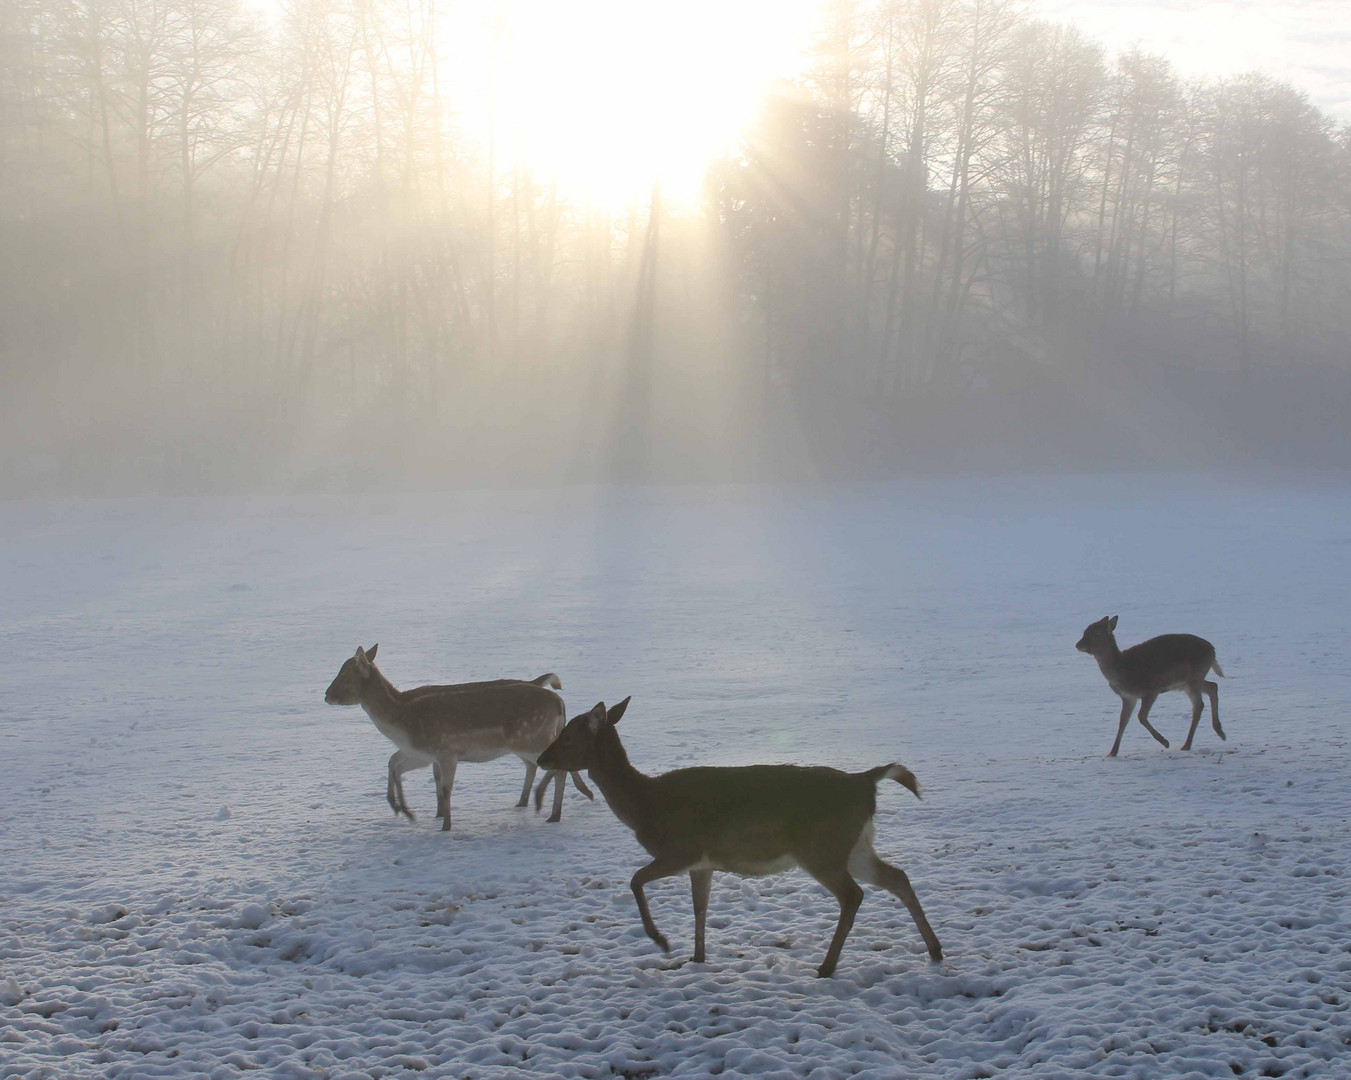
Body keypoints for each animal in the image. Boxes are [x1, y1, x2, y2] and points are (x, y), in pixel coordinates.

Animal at [324, 646, 594, 832]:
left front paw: (445, 825)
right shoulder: (421, 753)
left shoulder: (445, 751)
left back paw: (553, 812)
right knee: (540, 766)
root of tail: (559, 702)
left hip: (531, 738)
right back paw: (530, 802)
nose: (326, 694)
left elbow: (445, 787)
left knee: (557, 767)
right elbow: (394, 763)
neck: (402, 720)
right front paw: (404, 809)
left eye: (346, 677)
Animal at [534, 697, 940, 984]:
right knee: (897, 877)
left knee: (853, 895)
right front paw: (696, 958)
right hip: (853, 846)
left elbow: (635, 880)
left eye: (567, 735)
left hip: (821, 848)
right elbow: (700, 908)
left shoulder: (681, 849)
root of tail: (866, 781)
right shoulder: (702, 863)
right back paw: (935, 951)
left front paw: (661, 940)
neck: (645, 804)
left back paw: (826, 967)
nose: (541, 758)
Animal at [1075, 616, 1226, 762]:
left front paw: (1165, 742)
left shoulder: (1152, 690)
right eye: (1085, 631)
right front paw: (1112, 752)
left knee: (1199, 705)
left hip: (1194, 679)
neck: (1120, 670)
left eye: (1096, 634)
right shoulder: (1128, 697)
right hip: (1188, 682)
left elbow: (1141, 716)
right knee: (1213, 686)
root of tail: (1213, 651)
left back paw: (1188, 744)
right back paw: (1219, 732)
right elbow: (1123, 721)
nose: (1078, 644)